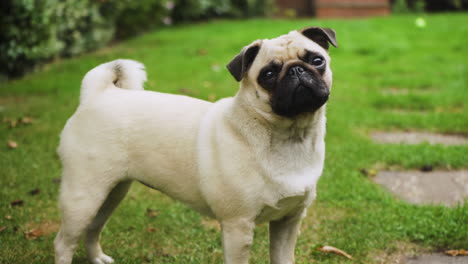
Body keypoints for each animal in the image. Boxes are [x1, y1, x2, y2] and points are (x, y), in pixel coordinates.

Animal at [54, 26, 336, 264]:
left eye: (316, 60)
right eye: (268, 75)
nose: (297, 70)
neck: (290, 136)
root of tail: (98, 94)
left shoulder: (288, 221)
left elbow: (283, 258)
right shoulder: (237, 226)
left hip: (112, 192)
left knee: (93, 228)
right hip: (83, 196)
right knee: (63, 243)